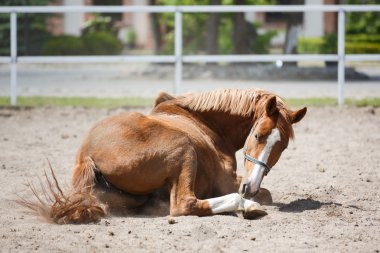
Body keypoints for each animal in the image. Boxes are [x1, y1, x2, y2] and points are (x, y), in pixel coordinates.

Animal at [20, 88, 306, 223]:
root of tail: (86, 157)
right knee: (182, 205)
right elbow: (266, 194)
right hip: (184, 149)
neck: (204, 122)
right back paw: (247, 206)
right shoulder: (227, 181)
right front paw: (252, 200)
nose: (250, 187)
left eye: (282, 147)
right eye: (257, 135)